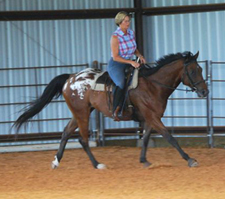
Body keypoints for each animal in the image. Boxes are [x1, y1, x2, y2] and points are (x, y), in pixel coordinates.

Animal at [12, 51, 209, 169]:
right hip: (82, 113)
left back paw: (56, 161)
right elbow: (170, 137)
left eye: (200, 68)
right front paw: (190, 159)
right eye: (192, 71)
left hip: (81, 112)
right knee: (82, 139)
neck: (153, 85)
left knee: (66, 132)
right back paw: (97, 164)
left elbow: (145, 139)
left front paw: (144, 160)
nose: (204, 92)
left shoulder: (150, 118)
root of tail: (70, 78)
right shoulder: (153, 117)